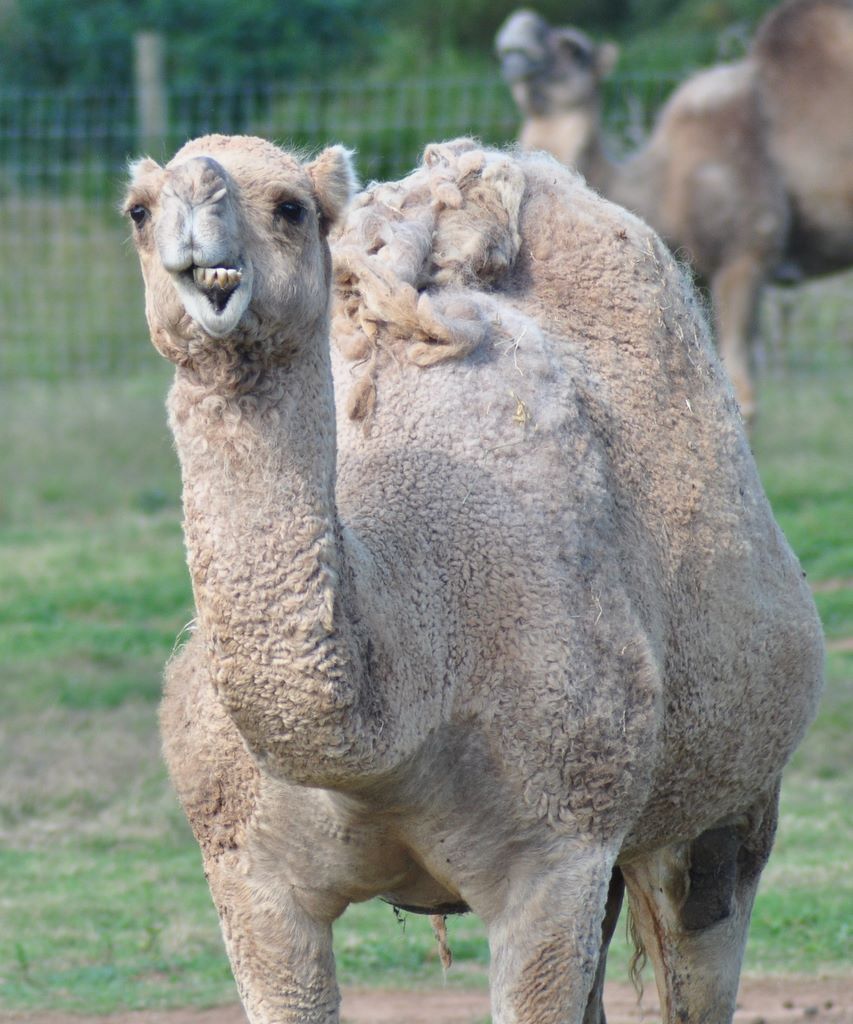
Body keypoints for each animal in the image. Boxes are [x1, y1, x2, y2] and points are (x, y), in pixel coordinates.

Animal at [124, 133, 824, 1024]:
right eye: (139, 210)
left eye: (291, 207)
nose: (197, 213)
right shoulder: (247, 875)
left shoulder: (555, 857)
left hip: (731, 798)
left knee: (701, 943)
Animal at [495, 0, 853, 421]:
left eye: (573, 49)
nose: (516, 37)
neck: (664, 183)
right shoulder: (699, 276)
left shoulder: (746, 255)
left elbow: (742, 393)